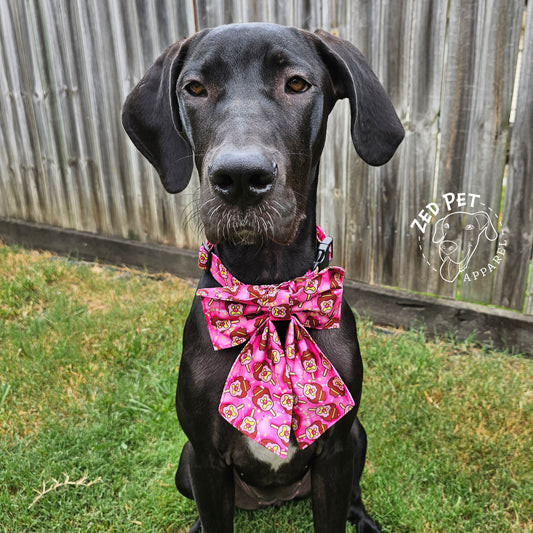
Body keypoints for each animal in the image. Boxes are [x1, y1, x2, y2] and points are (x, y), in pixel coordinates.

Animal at [121, 21, 404, 532]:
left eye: (297, 83)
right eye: (194, 88)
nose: (239, 178)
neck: (270, 289)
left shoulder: (337, 451)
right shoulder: (205, 458)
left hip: (359, 438)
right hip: (184, 465)